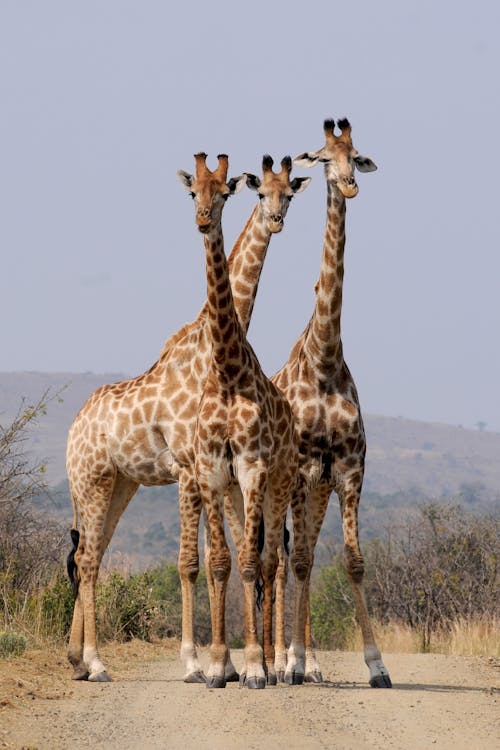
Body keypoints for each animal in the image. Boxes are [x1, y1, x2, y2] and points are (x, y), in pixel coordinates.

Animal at [65, 151, 310, 680]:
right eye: (193, 192)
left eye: (289, 194)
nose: (275, 221)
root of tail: (73, 428)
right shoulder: (187, 467)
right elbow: (190, 562)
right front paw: (197, 663)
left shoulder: (214, 469)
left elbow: (223, 556)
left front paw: (232, 665)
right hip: (91, 480)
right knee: (89, 558)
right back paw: (95, 662)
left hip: (120, 483)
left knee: (91, 552)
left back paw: (76, 657)